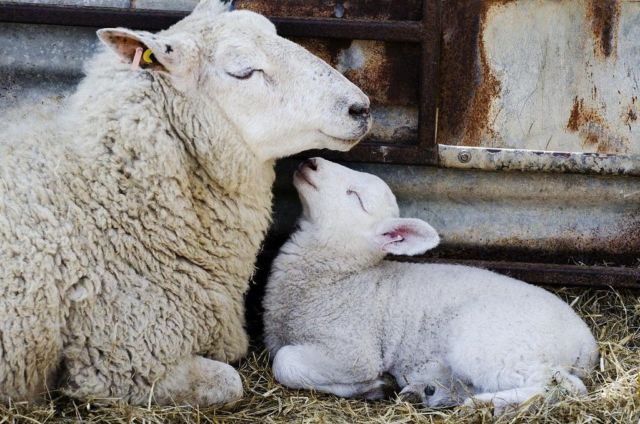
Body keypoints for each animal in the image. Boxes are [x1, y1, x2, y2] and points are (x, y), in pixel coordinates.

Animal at [262, 158, 600, 414]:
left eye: (354, 197)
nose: (310, 162)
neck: (341, 276)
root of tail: (586, 343)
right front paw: (377, 387)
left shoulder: (353, 351)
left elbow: (285, 362)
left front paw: (371, 385)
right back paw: (430, 391)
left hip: (495, 346)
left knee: (564, 385)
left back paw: (486, 404)